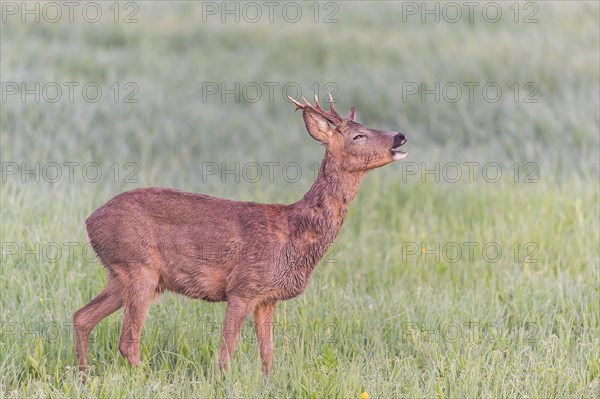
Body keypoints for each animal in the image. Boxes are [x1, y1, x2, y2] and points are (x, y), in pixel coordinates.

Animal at [72, 95, 406, 380]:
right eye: (358, 135)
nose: (400, 137)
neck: (295, 232)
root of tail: (90, 221)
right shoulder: (242, 287)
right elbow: (225, 353)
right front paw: (224, 383)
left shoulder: (268, 298)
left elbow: (268, 354)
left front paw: (269, 383)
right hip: (138, 267)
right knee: (127, 340)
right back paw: (145, 379)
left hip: (126, 277)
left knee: (82, 317)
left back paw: (84, 377)